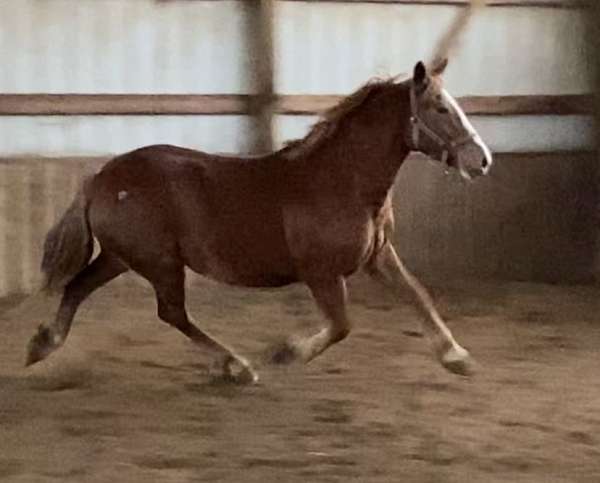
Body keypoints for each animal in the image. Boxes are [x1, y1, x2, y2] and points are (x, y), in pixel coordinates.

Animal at [25, 60, 492, 384]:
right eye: (439, 108)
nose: (482, 159)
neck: (342, 180)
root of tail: (102, 177)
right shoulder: (321, 273)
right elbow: (342, 326)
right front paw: (285, 352)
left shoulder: (378, 257)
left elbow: (417, 295)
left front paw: (457, 358)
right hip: (159, 262)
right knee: (170, 312)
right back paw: (237, 365)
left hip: (122, 257)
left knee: (79, 287)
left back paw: (42, 345)